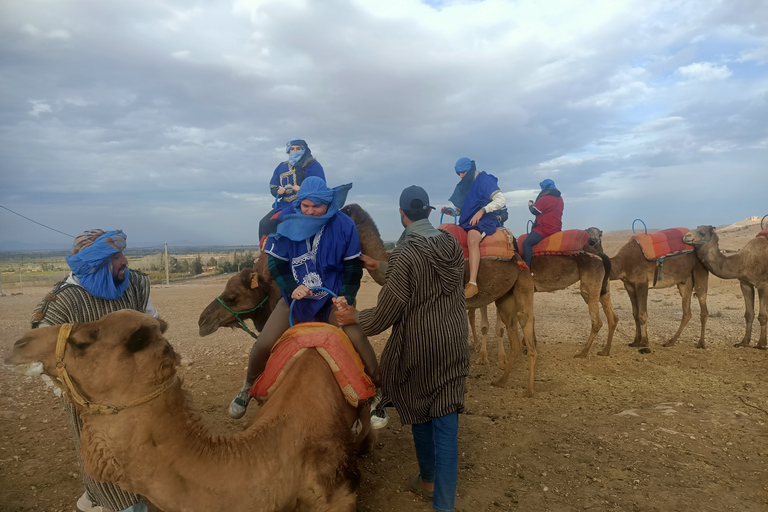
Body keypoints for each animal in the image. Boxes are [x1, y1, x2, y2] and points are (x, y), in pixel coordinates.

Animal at [340, 203, 536, 396]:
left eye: (344, 211)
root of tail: (517, 256)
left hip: (524, 283)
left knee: (525, 320)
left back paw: (529, 389)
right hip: (505, 297)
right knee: (514, 335)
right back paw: (501, 381)